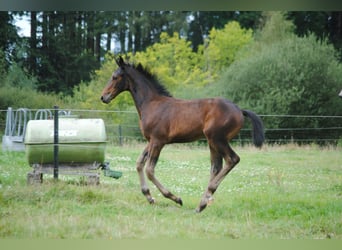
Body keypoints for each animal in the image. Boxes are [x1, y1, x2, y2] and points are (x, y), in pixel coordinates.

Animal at [99, 55, 264, 212]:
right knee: (216, 167)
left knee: (232, 159)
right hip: (212, 142)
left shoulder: (158, 141)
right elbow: (139, 163)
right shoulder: (151, 140)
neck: (152, 104)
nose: (103, 97)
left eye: (115, 77)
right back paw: (202, 204)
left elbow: (149, 170)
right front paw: (149, 197)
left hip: (217, 139)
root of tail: (239, 110)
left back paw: (204, 200)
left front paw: (175, 198)